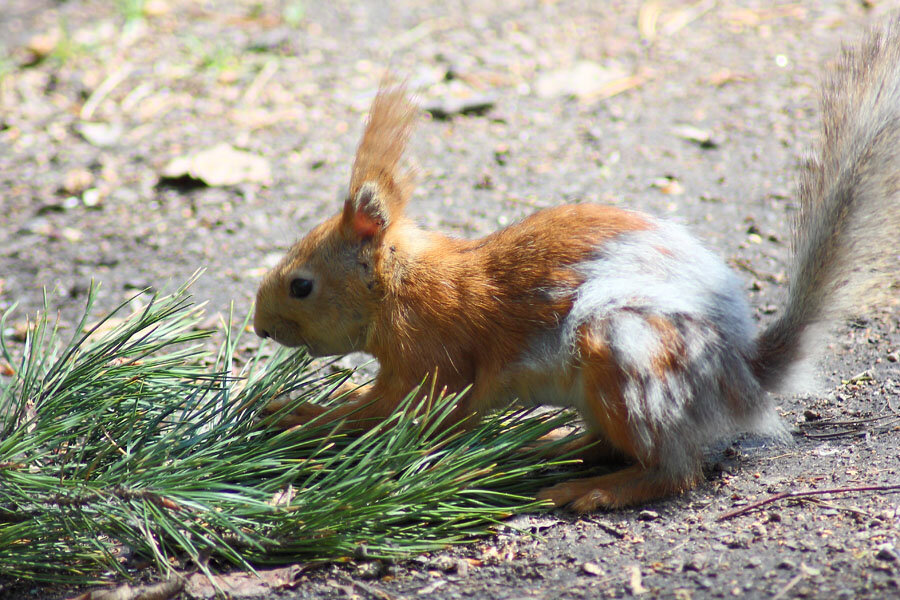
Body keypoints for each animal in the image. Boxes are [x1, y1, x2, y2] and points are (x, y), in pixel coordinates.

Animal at [253, 22, 900, 510]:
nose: (259, 328)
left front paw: (298, 415)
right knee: (606, 443)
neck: (400, 286)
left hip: (625, 353)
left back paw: (592, 490)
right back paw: (545, 446)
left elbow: (382, 411)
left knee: (672, 471)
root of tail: (741, 379)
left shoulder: (427, 361)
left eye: (301, 286)